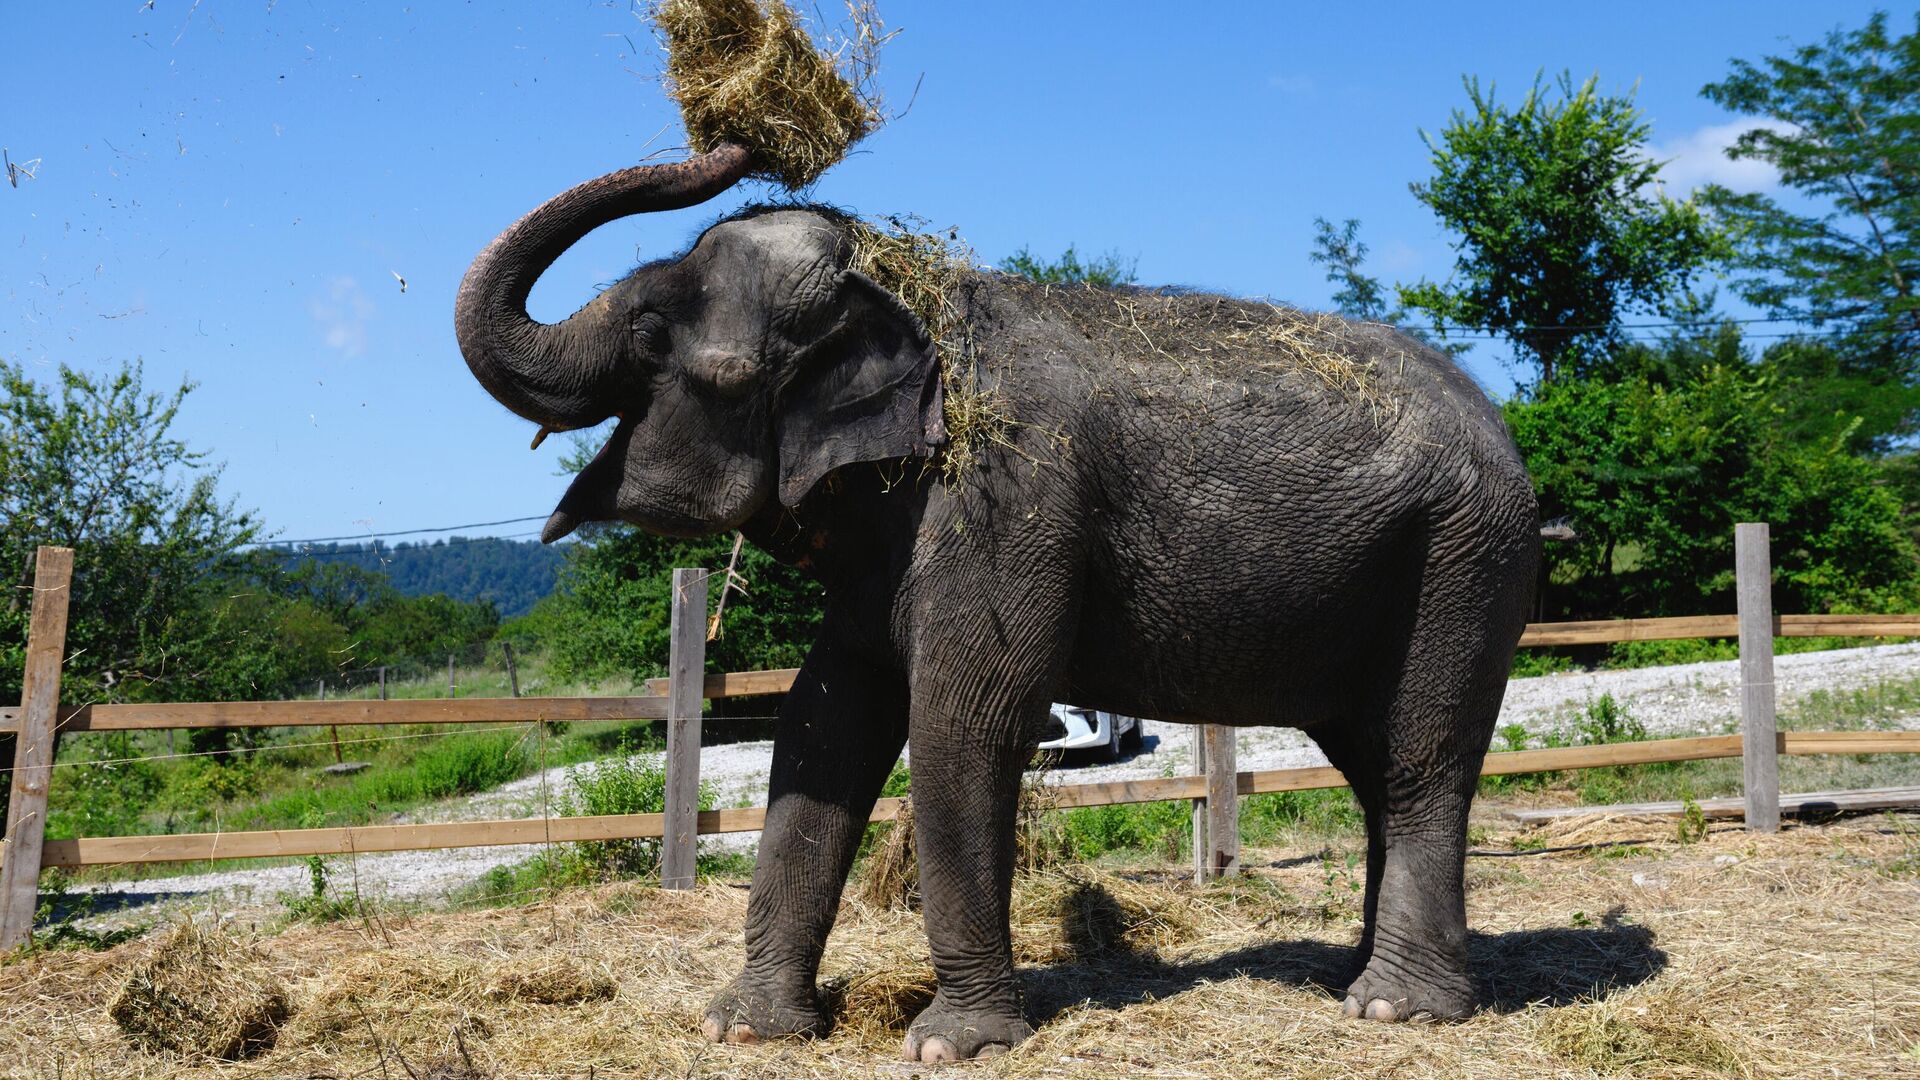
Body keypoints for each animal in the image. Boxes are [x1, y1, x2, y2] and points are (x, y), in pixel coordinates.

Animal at [456, 138, 1536, 1053]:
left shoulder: (1003, 502)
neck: (909, 301)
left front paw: (951, 1045)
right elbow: (822, 722)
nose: (733, 142)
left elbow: (960, 721)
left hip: (1462, 560)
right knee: (1371, 764)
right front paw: (745, 1031)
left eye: (653, 339)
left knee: (1419, 760)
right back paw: (1355, 977)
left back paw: (1395, 1009)